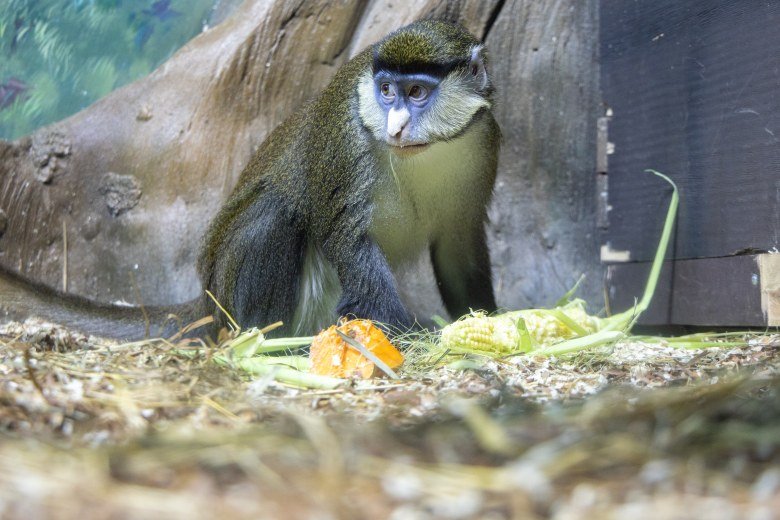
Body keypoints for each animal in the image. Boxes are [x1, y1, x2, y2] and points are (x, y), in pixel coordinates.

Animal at [0, 20, 500, 340]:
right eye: (386, 91)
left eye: (416, 92)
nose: (396, 128)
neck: (422, 153)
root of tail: (207, 299)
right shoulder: (346, 142)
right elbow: (348, 239)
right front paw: (413, 336)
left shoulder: (483, 144)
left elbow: (459, 249)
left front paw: (487, 319)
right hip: (235, 288)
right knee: (272, 212)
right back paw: (269, 342)